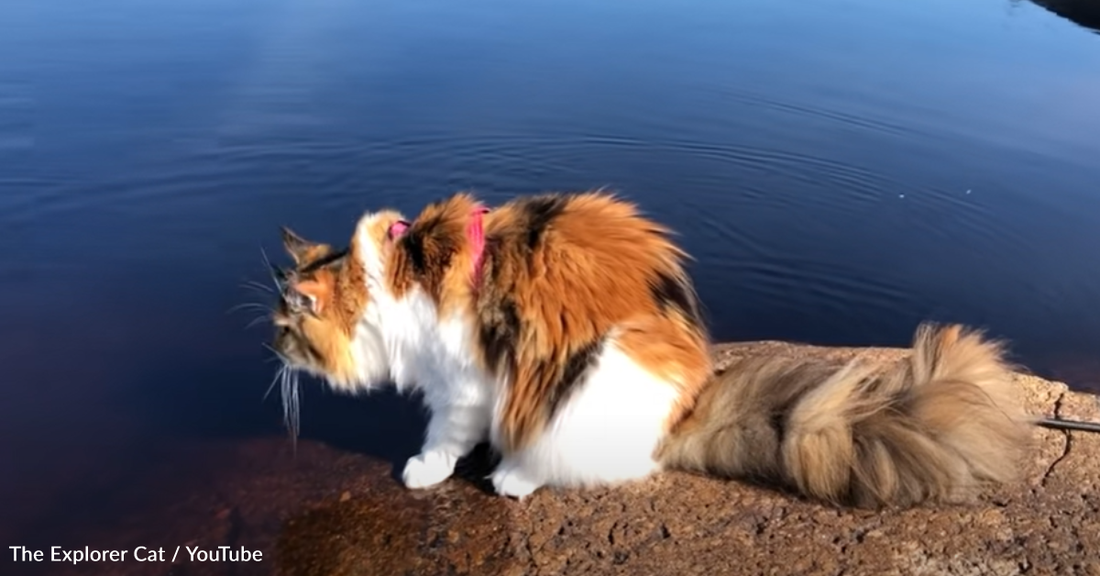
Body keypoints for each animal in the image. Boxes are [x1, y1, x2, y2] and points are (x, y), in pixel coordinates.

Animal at [266, 190, 1029, 507]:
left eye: (283, 330)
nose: (274, 358)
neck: (390, 277)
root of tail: (678, 418)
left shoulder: (465, 382)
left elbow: (445, 435)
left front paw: (427, 469)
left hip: (586, 376)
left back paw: (515, 477)